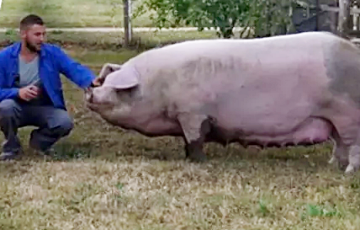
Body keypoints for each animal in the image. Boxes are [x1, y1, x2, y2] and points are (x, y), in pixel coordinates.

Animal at [84, 31, 360, 173]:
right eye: (104, 81)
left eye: (115, 88)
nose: (89, 91)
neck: (157, 87)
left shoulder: (192, 113)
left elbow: (195, 139)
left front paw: (198, 161)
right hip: (333, 118)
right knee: (339, 143)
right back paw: (333, 166)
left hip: (348, 114)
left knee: (352, 145)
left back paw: (348, 173)